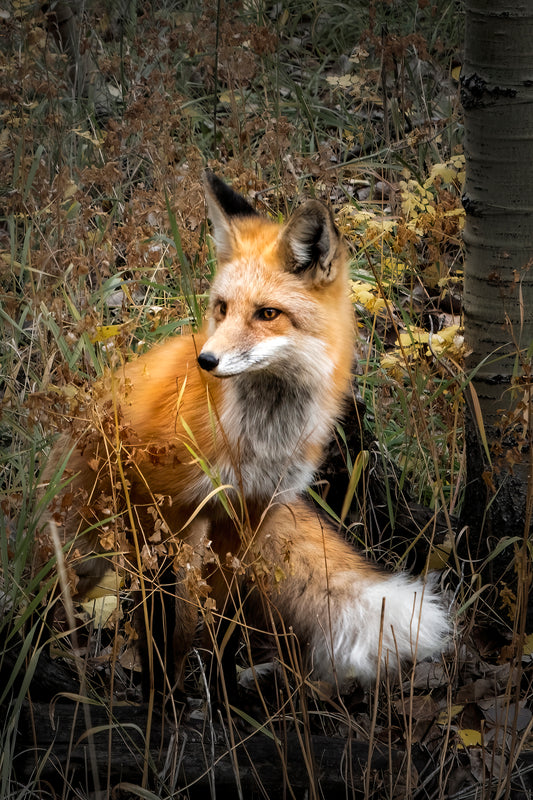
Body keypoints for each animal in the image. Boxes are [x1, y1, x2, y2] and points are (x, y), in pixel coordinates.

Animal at [42, 173, 448, 692]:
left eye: (267, 314)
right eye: (222, 308)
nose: (207, 360)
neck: (258, 442)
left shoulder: (248, 516)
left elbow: (225, 628)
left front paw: (222, 695)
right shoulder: (158, 513)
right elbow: (157, 625)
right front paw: (159, 698)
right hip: (83, 551)